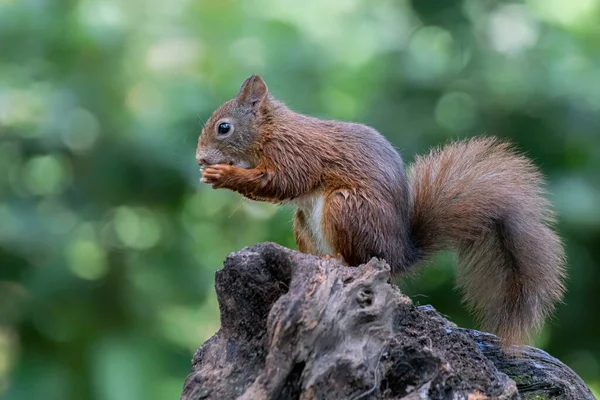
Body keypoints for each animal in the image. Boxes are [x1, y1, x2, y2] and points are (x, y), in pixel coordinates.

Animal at [195, 76, 564, 346]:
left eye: (223, 127)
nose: (199, 159)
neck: (271, 131)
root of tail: (399, 253)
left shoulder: (295, 154)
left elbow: (282, 182)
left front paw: (224, 175)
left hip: (345, 207)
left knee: (358, 258)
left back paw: (337, 260)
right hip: (305, 221)